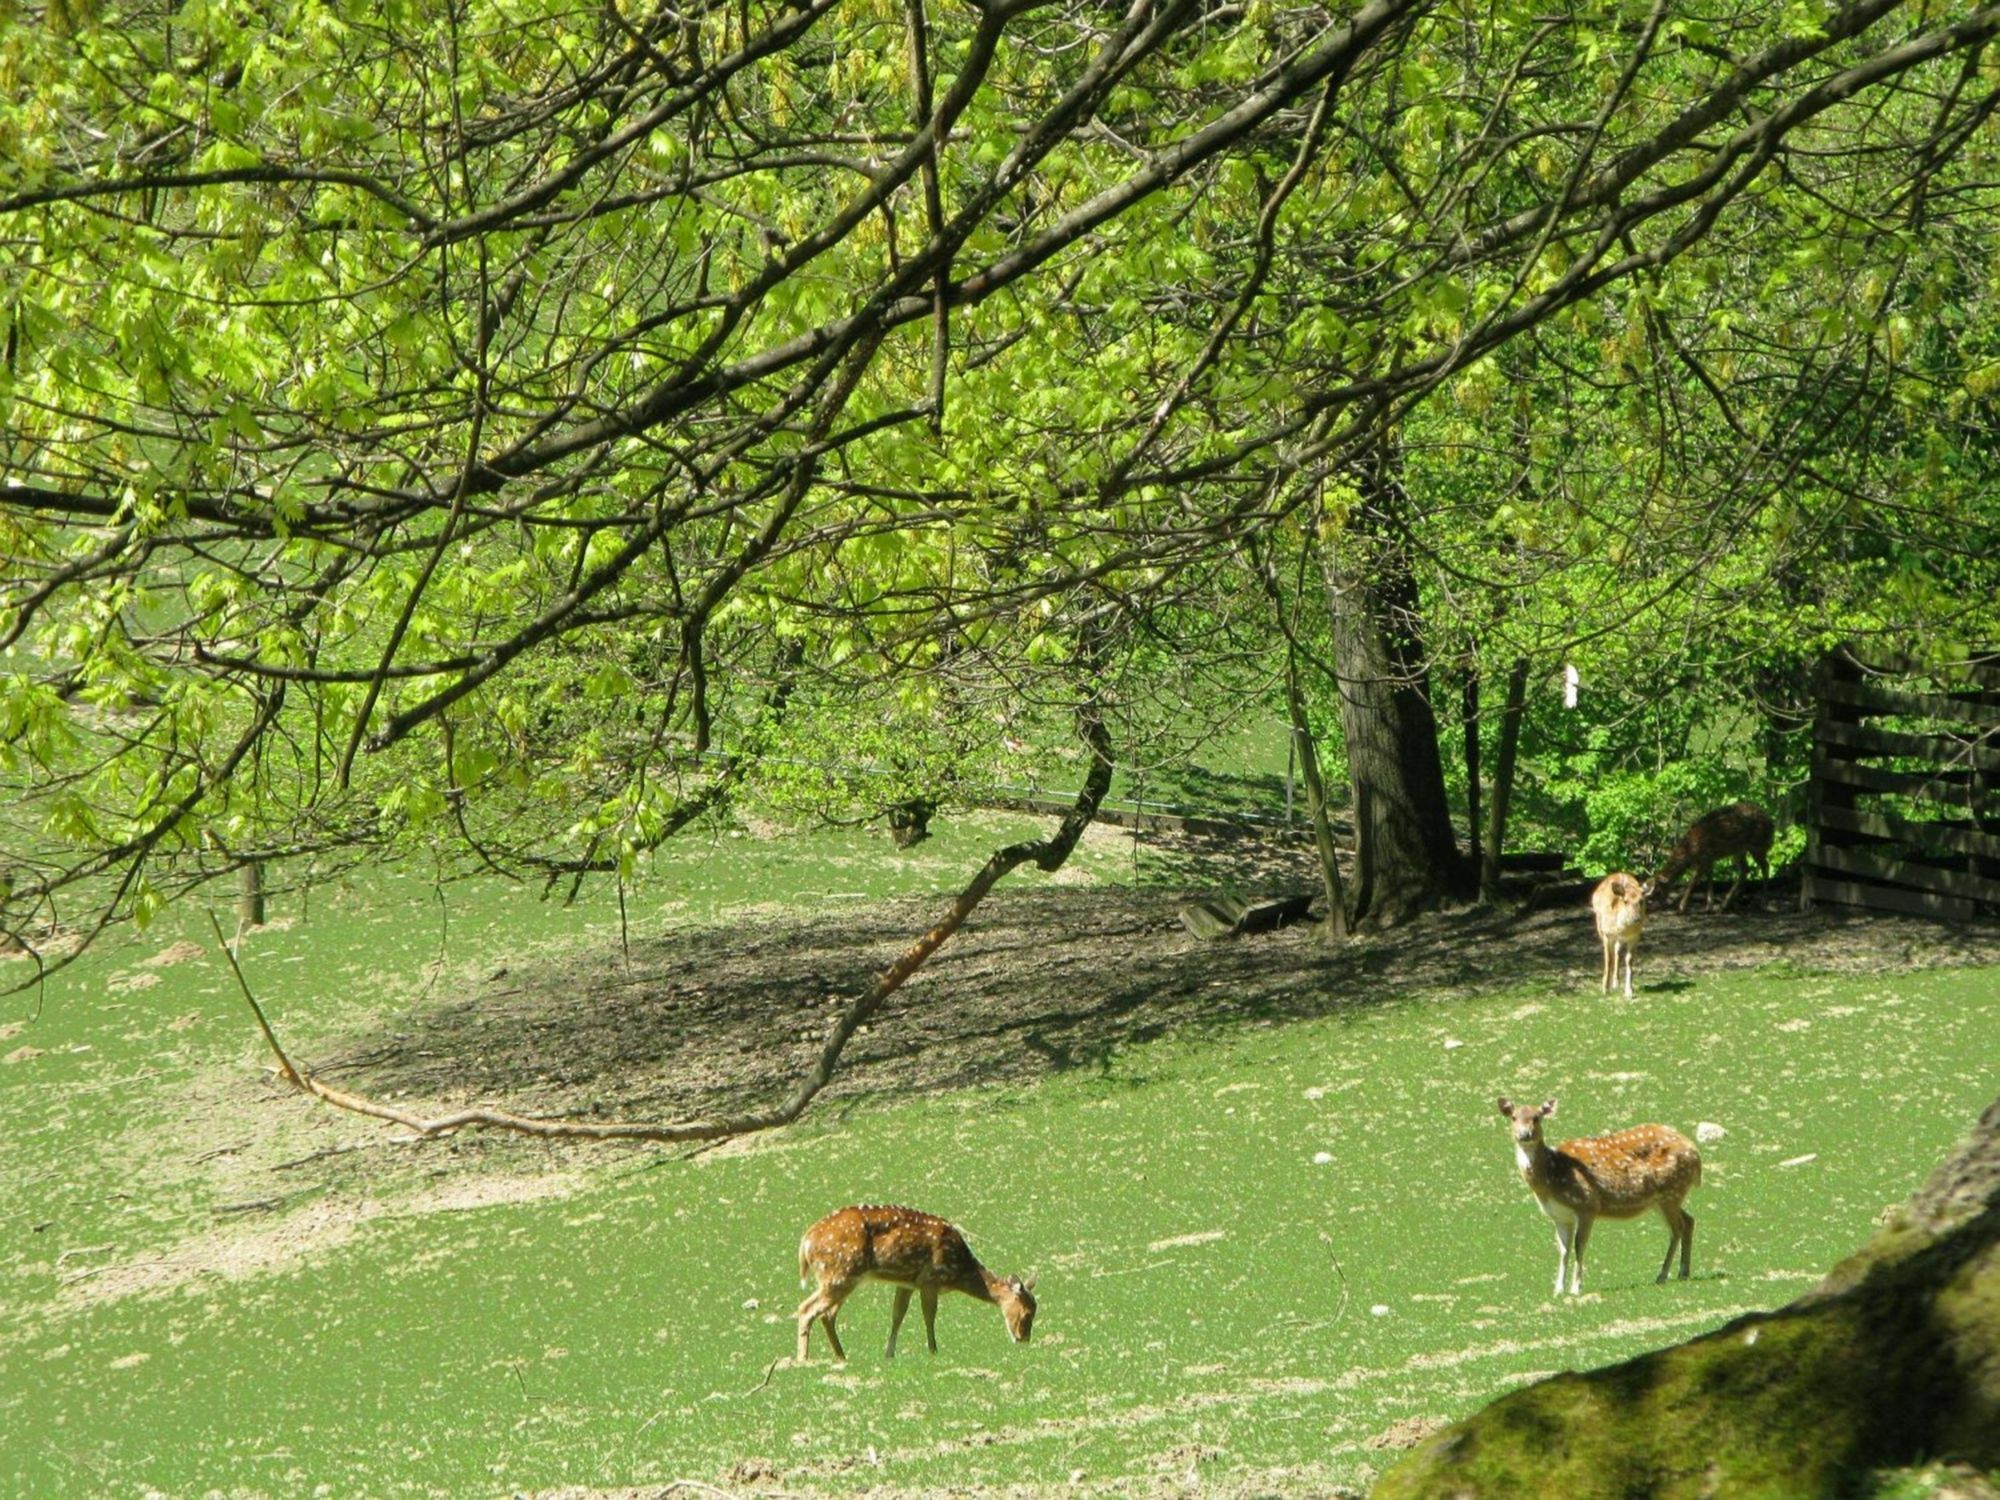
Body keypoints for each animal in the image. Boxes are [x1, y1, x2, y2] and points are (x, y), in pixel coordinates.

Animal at [788, 1208, 1040, 1360]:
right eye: (1027, 1313)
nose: (1023, 1339)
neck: (958, 1270)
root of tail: (805, 1243)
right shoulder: (930, 1279)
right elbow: (929, 1315)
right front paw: (933, 1350)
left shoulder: (907, 1282)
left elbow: (898, 1315)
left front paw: (889, 1353)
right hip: (839, 1274)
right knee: (807, 1308)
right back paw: (803, 1359)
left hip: (841, 1278)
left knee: (826, 1314)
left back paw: (841, 1356)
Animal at [1504, 1096, 1704, 1296]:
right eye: (1513, 1117)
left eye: (1537, 1117)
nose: (1524, 1134)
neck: (1551, 1176)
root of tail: (1695, 1153)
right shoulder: (1560, 1215)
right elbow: (1563, 1249)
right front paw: (1558, 1290)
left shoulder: (1587, 1204)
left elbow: (1579, 1244)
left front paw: (1576, 1288)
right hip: (1663, 1199)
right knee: (1689, 1221)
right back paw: (1683, 1272)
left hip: (1671, 1192)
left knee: (1677, 1228)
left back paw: (1662, 1275)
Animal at [1592, 868, 1640, 1000]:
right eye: (1625, 901)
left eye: (1641, 901)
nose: (1636, 918)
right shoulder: (1607, 934)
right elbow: (1608, 960)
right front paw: (1605, 989)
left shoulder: (1635, 936)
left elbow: (1629, 960)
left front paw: (1629, 992)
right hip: (1600, 926)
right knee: (1613, 954)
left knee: (1617, 951)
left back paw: (1616, 982)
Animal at [1648, 800, 1776, 916]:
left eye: (1657, 891)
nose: (1650, 908)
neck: (1690, 851)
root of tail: (1772, 825)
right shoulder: (1709, 859)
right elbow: (1709, 878)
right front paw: (1709, 906)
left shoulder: (1704, 858)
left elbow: (1693, 882)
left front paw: (1681, 908)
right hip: (1739, 850)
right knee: (1745, 869)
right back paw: (1726, 905)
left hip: (1758, 845)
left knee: (1765, 866)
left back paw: (1763, 902)